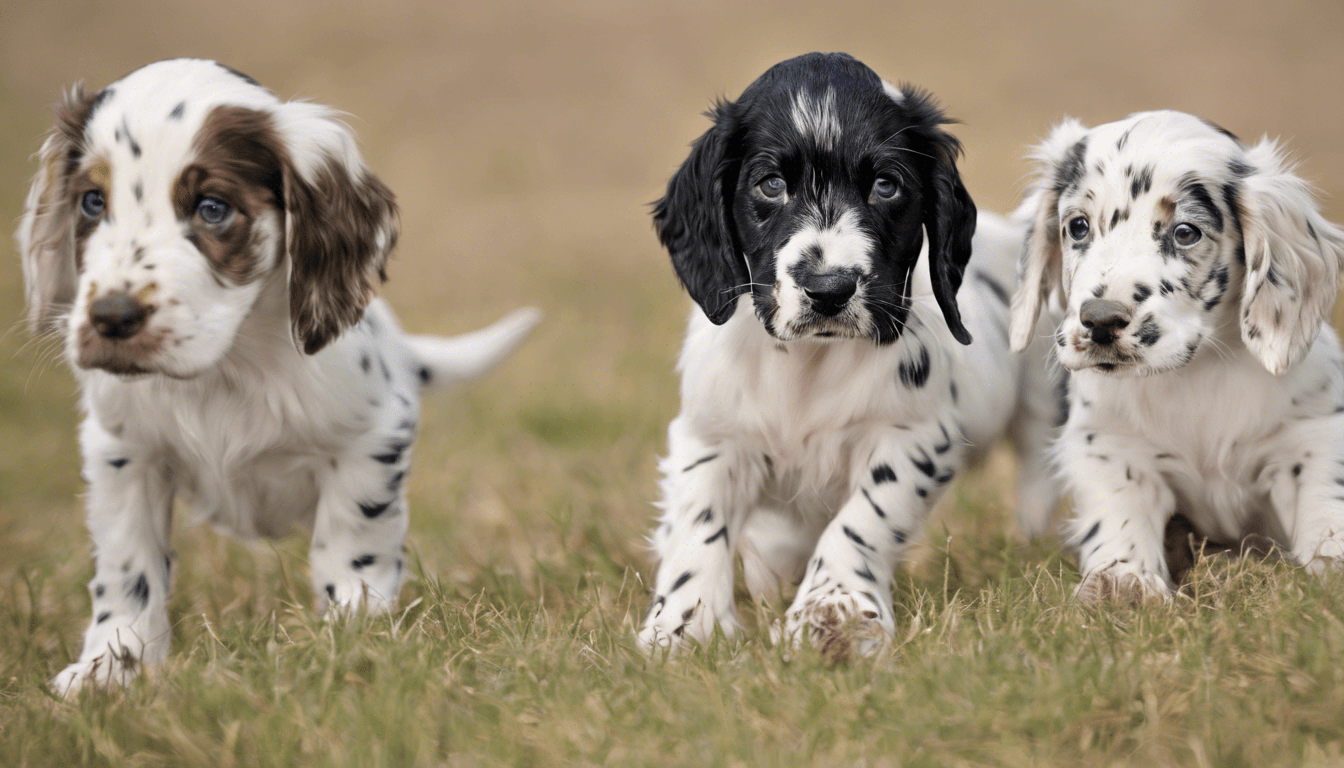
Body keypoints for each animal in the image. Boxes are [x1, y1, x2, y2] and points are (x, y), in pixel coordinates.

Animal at [18, 60, 537, 699]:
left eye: (213, 208)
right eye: (92, 201)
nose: (112, 318)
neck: (225, 369)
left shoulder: (371, 437)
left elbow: (351, 543)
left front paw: (352, 641)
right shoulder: (122, 451)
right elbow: (127, 564)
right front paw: (111, 666)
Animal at [639, 52, 1059, 656]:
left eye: (886, 185)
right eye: (770, 185)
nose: (828, 288)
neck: (808, 365)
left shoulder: (911, 435)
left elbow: (863, 518)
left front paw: (832, 609)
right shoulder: (711, 431)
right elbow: (699, 522)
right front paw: (684, 625)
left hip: (1043, 401)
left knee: (1037, 470)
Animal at [1010, 110, 1344, 599]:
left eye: (1185, 233)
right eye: (1078, 226)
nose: (1100, 320)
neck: (1195, 374)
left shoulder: (1312, 436)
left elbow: (1324, 503)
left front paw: (1328, 565)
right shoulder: (1110, 444)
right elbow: (1119, 513)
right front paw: (1121, 581)